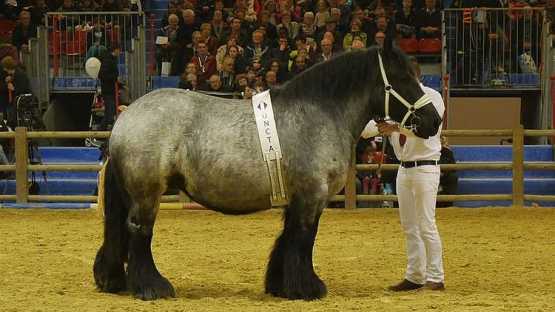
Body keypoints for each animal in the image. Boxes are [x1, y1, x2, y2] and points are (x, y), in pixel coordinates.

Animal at [94, 44, 444, 300]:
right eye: (402, 79)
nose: (434, 120)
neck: (321, 113)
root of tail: (124, 120)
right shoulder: (311, 197)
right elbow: (303, 240)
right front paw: (307, 288)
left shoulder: (297, 199)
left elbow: (287, 239)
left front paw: (281, 285)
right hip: (147, 194)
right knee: (140, 232)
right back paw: (152, 287)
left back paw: (115, 281)